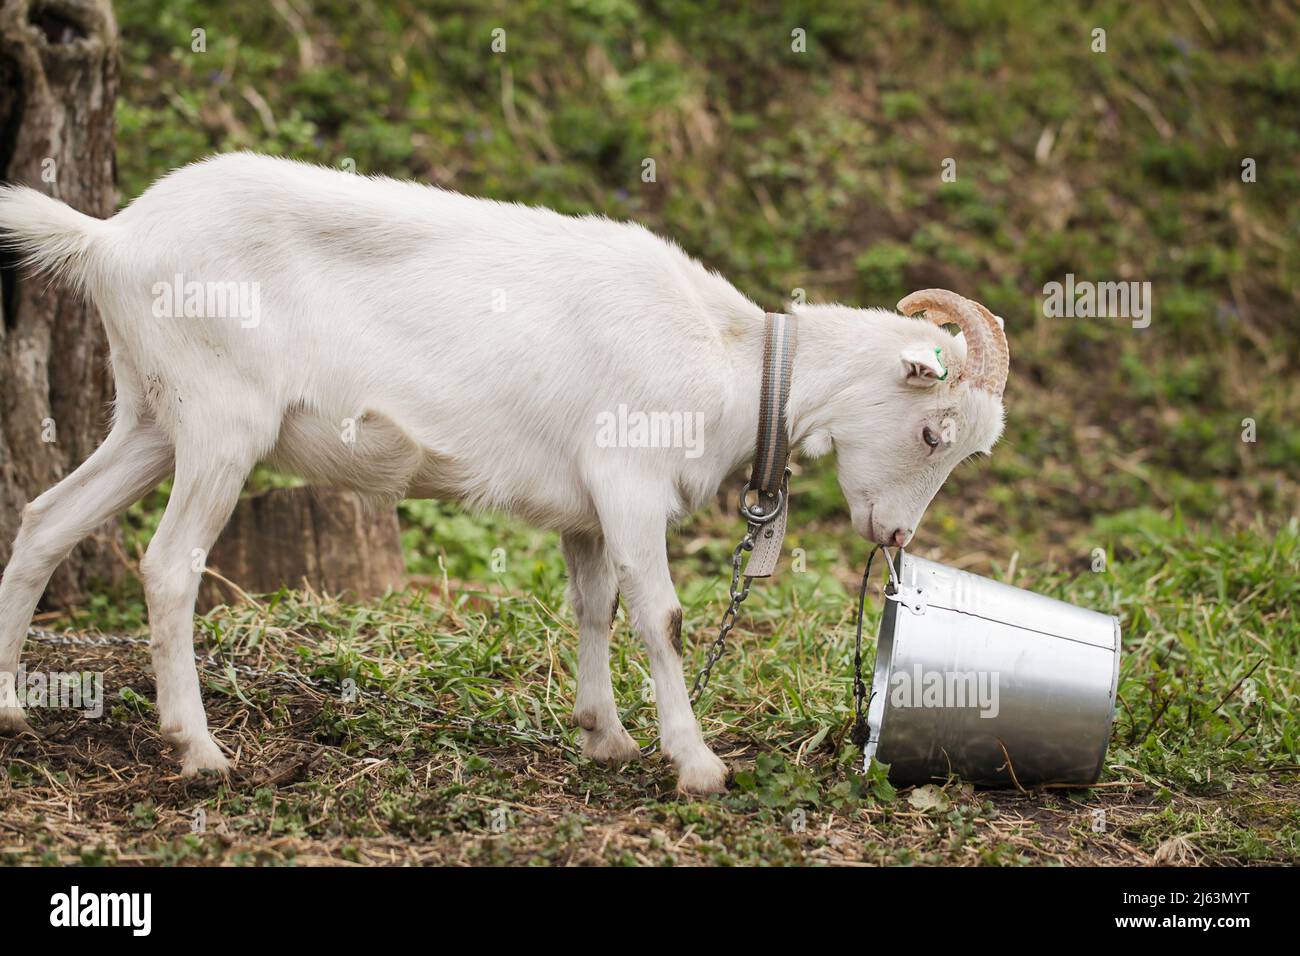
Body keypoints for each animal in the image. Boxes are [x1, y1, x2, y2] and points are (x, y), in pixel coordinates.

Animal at [0, 154, 1008, 793]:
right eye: (935, 432)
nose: (894, 534)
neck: (732, 361)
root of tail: (110, 237)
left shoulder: (587, 511)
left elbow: (595, 608)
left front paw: (606, 736)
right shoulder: (630, 481)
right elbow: (662, 617)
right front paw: (697, 765)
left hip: (149, 417)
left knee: (46, 518)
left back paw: (11, 708)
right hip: (221, 420)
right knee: (169, 566)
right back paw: (199, 752)